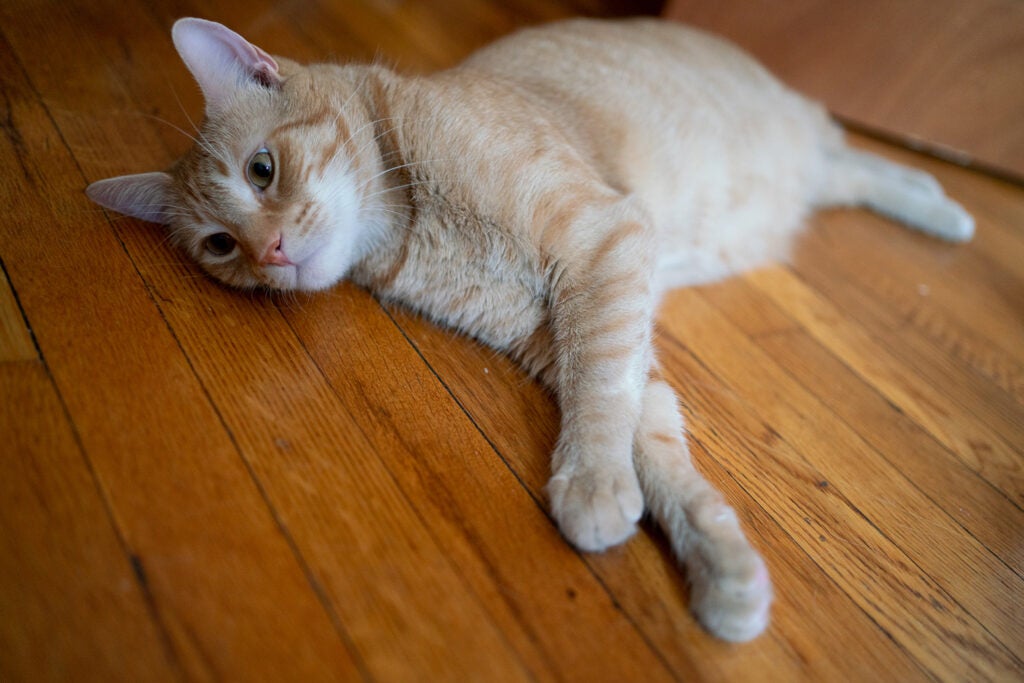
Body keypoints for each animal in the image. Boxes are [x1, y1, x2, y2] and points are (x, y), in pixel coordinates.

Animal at [86, 17, 966, 647]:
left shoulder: (604, 245)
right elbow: (652, 438)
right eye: (219, 247)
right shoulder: (568, 325)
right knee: (850, 172)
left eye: (262, 170)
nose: (267, 253)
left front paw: (592, 486)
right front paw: (721, 566)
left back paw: (947, 210)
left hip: (793, 142)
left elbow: (602, 396)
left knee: (866, 159)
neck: (415, 227)